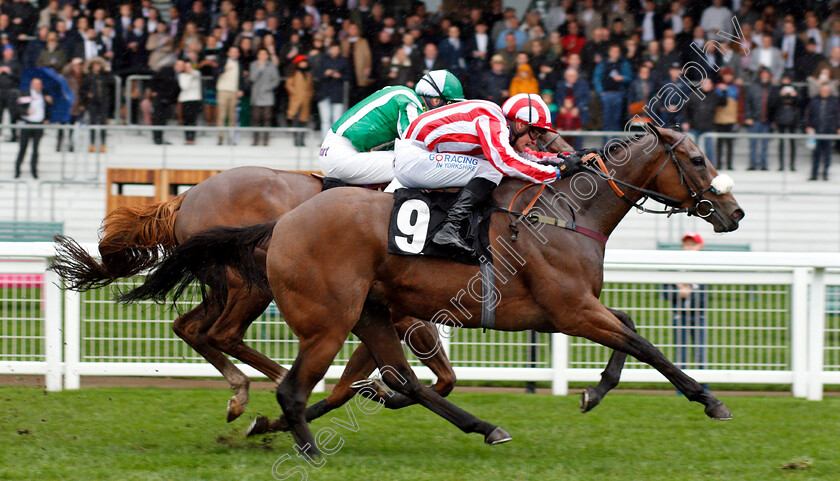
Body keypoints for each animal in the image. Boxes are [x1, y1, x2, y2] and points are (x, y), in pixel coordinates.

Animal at [121, 124, 744, 454]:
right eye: (695, 159)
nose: (734, 212)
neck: (564, 213)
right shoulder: (568, 309)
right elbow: (645, 345)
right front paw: (709, 399)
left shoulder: (573, 308)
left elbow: (631, 332)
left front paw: (594, 391)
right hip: (318, 315)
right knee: (267, 365)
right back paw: (288, 424)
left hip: (360, 311)